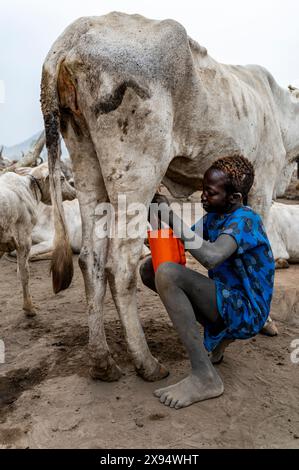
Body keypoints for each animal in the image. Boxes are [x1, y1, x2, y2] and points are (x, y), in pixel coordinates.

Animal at [41, 12, 299, 382]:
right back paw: (146, 363)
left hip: (86, 164)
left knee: (91, 260)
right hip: (136, 171)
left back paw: (103, 361)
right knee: (119, 266)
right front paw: (267, 324)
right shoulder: (262, 186)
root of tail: (73, 36)